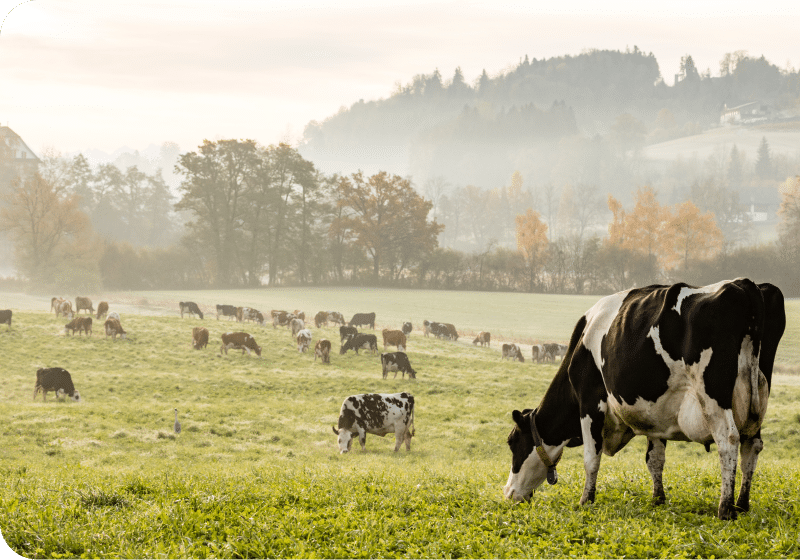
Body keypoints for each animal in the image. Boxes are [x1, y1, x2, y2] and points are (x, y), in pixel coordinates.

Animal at [503, 279, 786, 521]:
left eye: (512, 442)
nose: (508, 493)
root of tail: (744, 284)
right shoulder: (656, 414)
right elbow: (655, 459)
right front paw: (658, 499)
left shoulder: (590, 402)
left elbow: (591, 458)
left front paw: (586, 500)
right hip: (757, 400)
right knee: (752, 445)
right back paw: (742, 504)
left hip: (713, 395)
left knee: (728, 440)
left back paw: (725, 508)